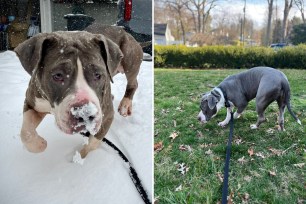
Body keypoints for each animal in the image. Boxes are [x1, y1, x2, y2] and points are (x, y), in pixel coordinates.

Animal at [14, 27, 143, 158]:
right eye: (57, 75)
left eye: (98, 75)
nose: (84, 113)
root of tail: (124, 31)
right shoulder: (32, 102)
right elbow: (26, 132)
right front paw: (40, 144)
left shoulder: (106, 116)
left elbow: (93, 142)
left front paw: (79, 156)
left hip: (130, 59)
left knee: (133, 82)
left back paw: (125, 105)